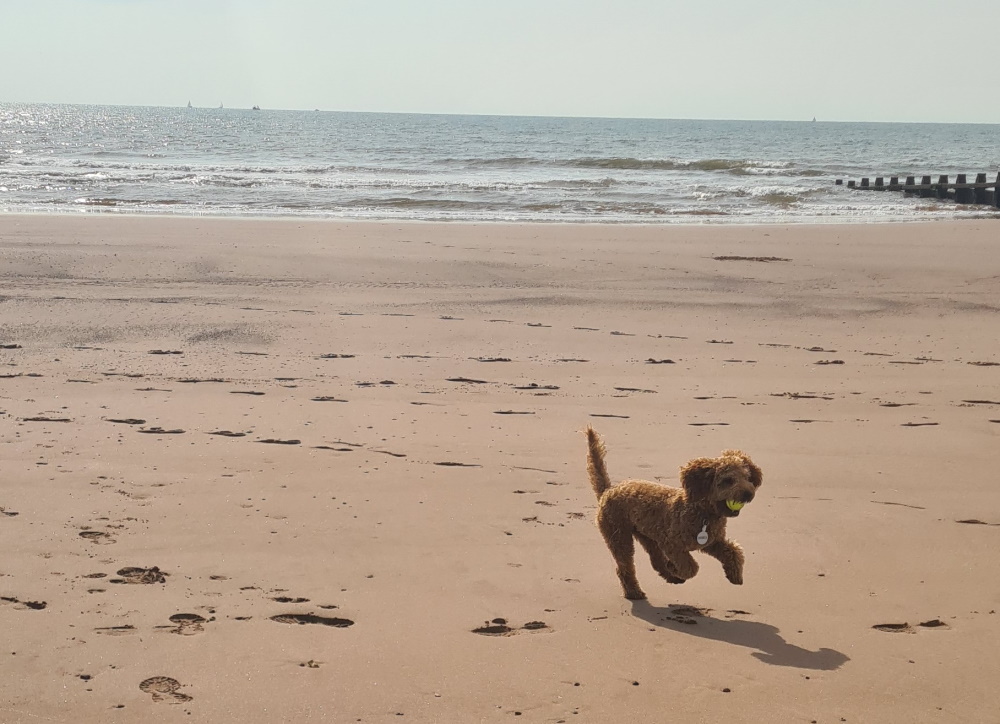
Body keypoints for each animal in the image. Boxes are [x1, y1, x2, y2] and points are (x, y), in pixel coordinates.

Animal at [584, 424, 756, 600]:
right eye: (728, 480)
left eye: (747, 478)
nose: (748, 493)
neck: (702, 513)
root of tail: (607, 491)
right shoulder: (672, 545)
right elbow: (690, 567)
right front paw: (675, 568)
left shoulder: (712, 543)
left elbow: (733, 551)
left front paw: (734, 575)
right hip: (619, 536)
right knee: (625, 567)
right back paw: (634, 591)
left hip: (647, 536)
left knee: (656, 561)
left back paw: (671, 577)